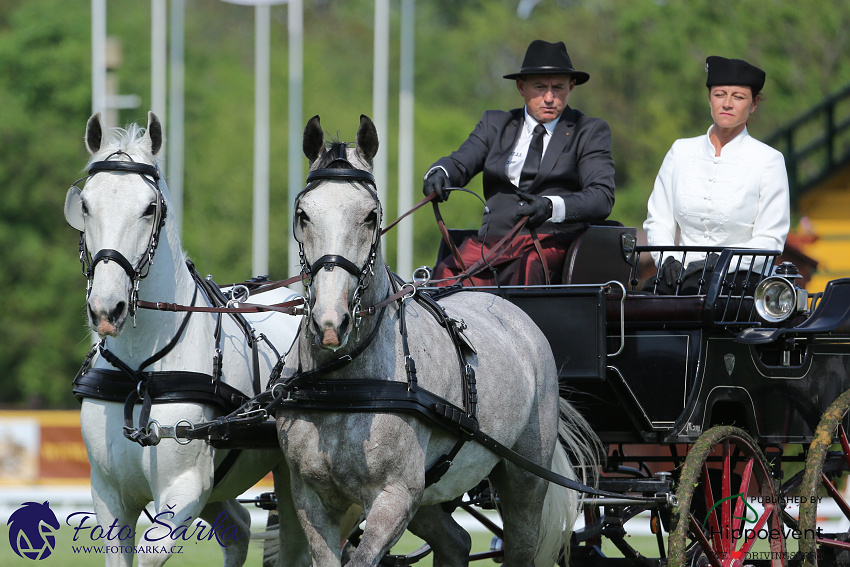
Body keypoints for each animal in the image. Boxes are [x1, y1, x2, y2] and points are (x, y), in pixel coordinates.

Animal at [63, 113, 308, 567]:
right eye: (84, 204)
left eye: (149, 208)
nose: (107, 309)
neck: (141, 372)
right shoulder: (107, 492)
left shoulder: (185, 486)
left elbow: (150, 554)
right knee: (239, 528)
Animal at [272, 116, 596, 567]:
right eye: (303, 214)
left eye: (371, 215)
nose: (331, 323)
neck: (343, 382)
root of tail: (509, 308)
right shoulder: (310, 498)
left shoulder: (395, 496)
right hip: (431, 491)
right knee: (455, 541)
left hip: (524, 479)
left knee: (520, 544)